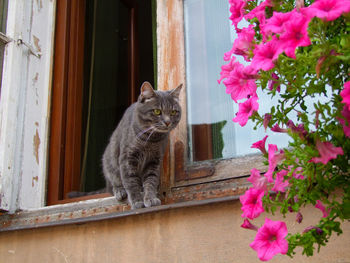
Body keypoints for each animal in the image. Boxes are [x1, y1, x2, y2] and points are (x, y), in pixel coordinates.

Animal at [102, 81, 182, 209]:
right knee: (112, 183)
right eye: (157, 111)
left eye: (173, 112)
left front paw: (150, 198)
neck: (150, 140)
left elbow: (151, 180)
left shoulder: (154, 160)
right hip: (110, 161)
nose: (168, 122)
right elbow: (130, 181)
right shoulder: (127, 158)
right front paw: (137, 201)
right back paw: (119, 191)